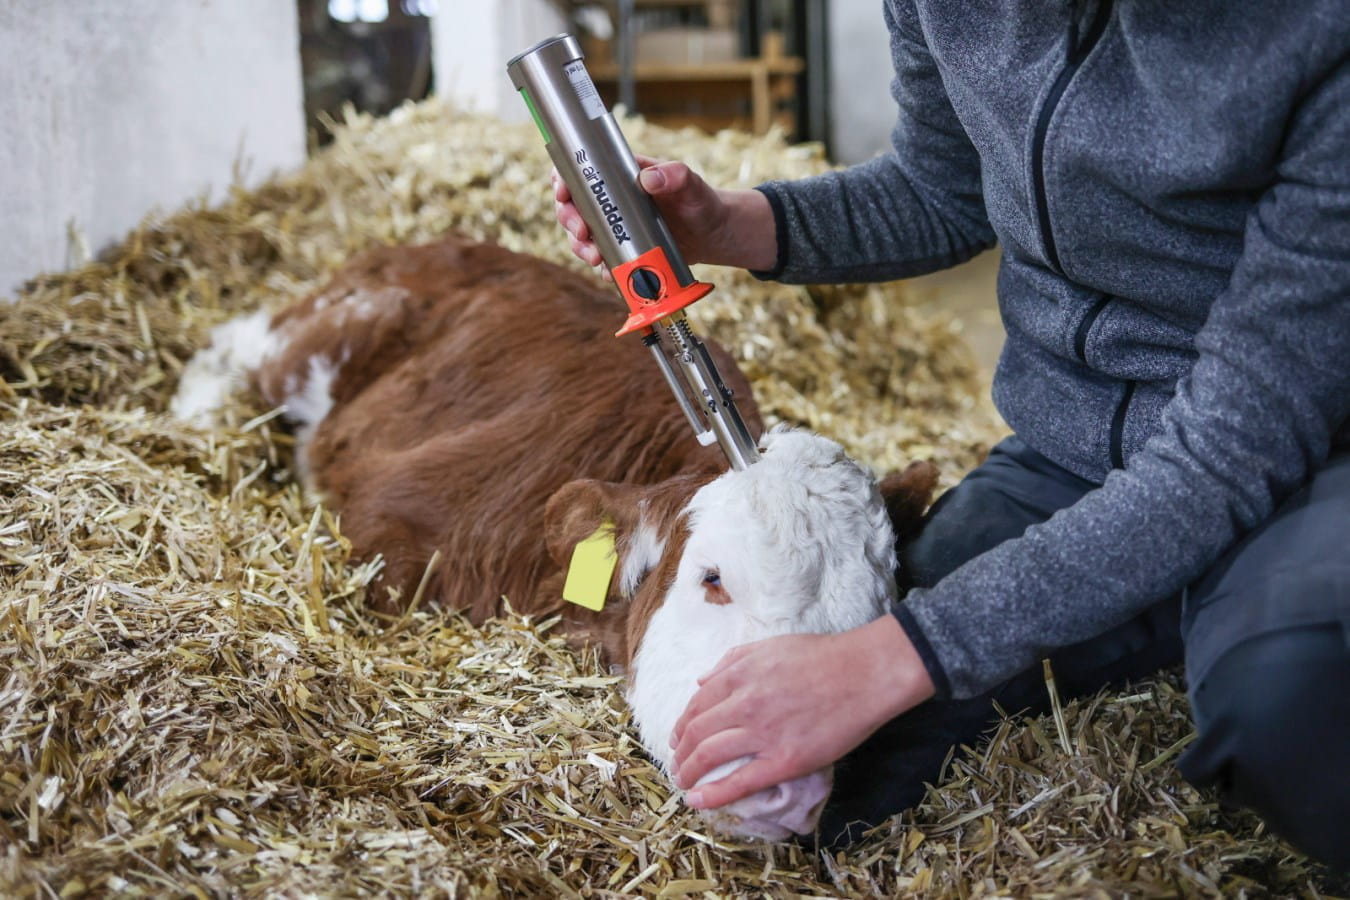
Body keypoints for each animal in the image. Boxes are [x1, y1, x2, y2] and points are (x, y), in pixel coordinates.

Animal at [173, 235, 938, 839]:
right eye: (713, 578)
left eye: (875, 622)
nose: (789, 789)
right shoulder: (388, 534)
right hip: (324, 335)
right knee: (234, 344)